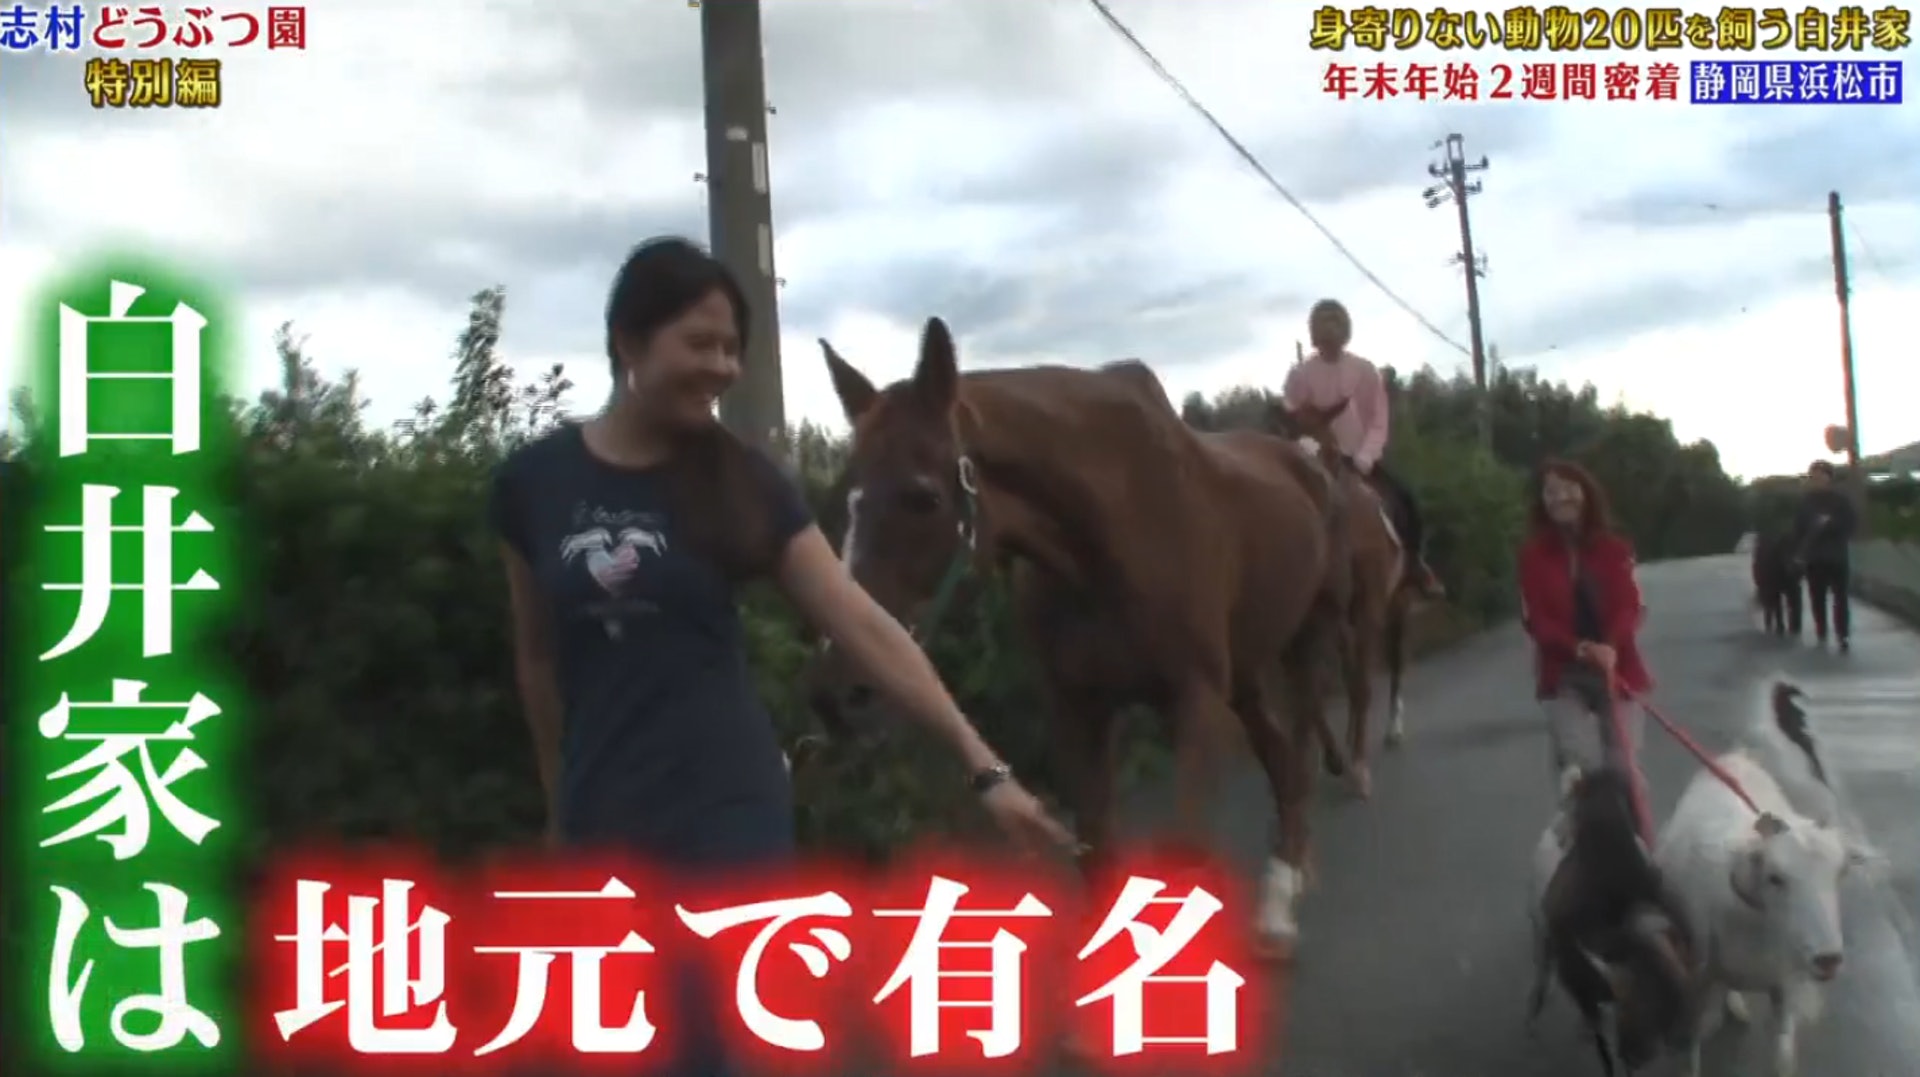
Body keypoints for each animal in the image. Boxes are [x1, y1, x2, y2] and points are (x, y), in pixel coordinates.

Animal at [806, 314, 1336, 952]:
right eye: (849, 502)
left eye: (923, 498)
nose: (840, 695)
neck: (1111, 533)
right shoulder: (1079, 711)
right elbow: (1098, 858)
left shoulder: (1196, 703)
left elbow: (1185, 855)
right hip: (1248, 673)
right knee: (1281, 758)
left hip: (1300, 648)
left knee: (1297, 756)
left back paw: (1281, 902)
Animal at [1267, 395, 1420, 798]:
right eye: (1287, 451)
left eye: (1333, 454)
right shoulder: (1311, 622)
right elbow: (1309, 693)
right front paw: (1334, 758)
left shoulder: (1368, 609)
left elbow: (1362, 684)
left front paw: (1359, 768)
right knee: (1348, 673)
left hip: (1395, 605)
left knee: (1393, 660)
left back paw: (1391, 730)